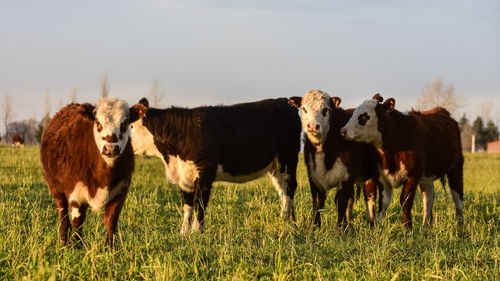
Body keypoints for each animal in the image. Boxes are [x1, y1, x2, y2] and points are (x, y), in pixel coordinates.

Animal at [130, 97, 300, 233]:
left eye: (129, 126)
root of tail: (285, 101)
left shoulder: (205, 171)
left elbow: (199, 203)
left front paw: (196, 232)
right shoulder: (184, 175)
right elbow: (187, 206)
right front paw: (184, 233)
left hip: (288, 159)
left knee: (289, 188)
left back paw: (289, 224)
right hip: (276, 167)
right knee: (282, 190)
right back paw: (285, 220)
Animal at [340, 93, 464, 226]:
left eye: (365, 116)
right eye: (353, 113)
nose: (343, 130)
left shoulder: (412, 176)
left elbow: (405, 201)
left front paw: (407, 226)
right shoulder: (383, 177)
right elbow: (383, 202)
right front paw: (377, 226)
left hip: (456, 167)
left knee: (457, 197)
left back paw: (460, 224)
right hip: (426, 176)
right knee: (428, 196)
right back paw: (426, 226)